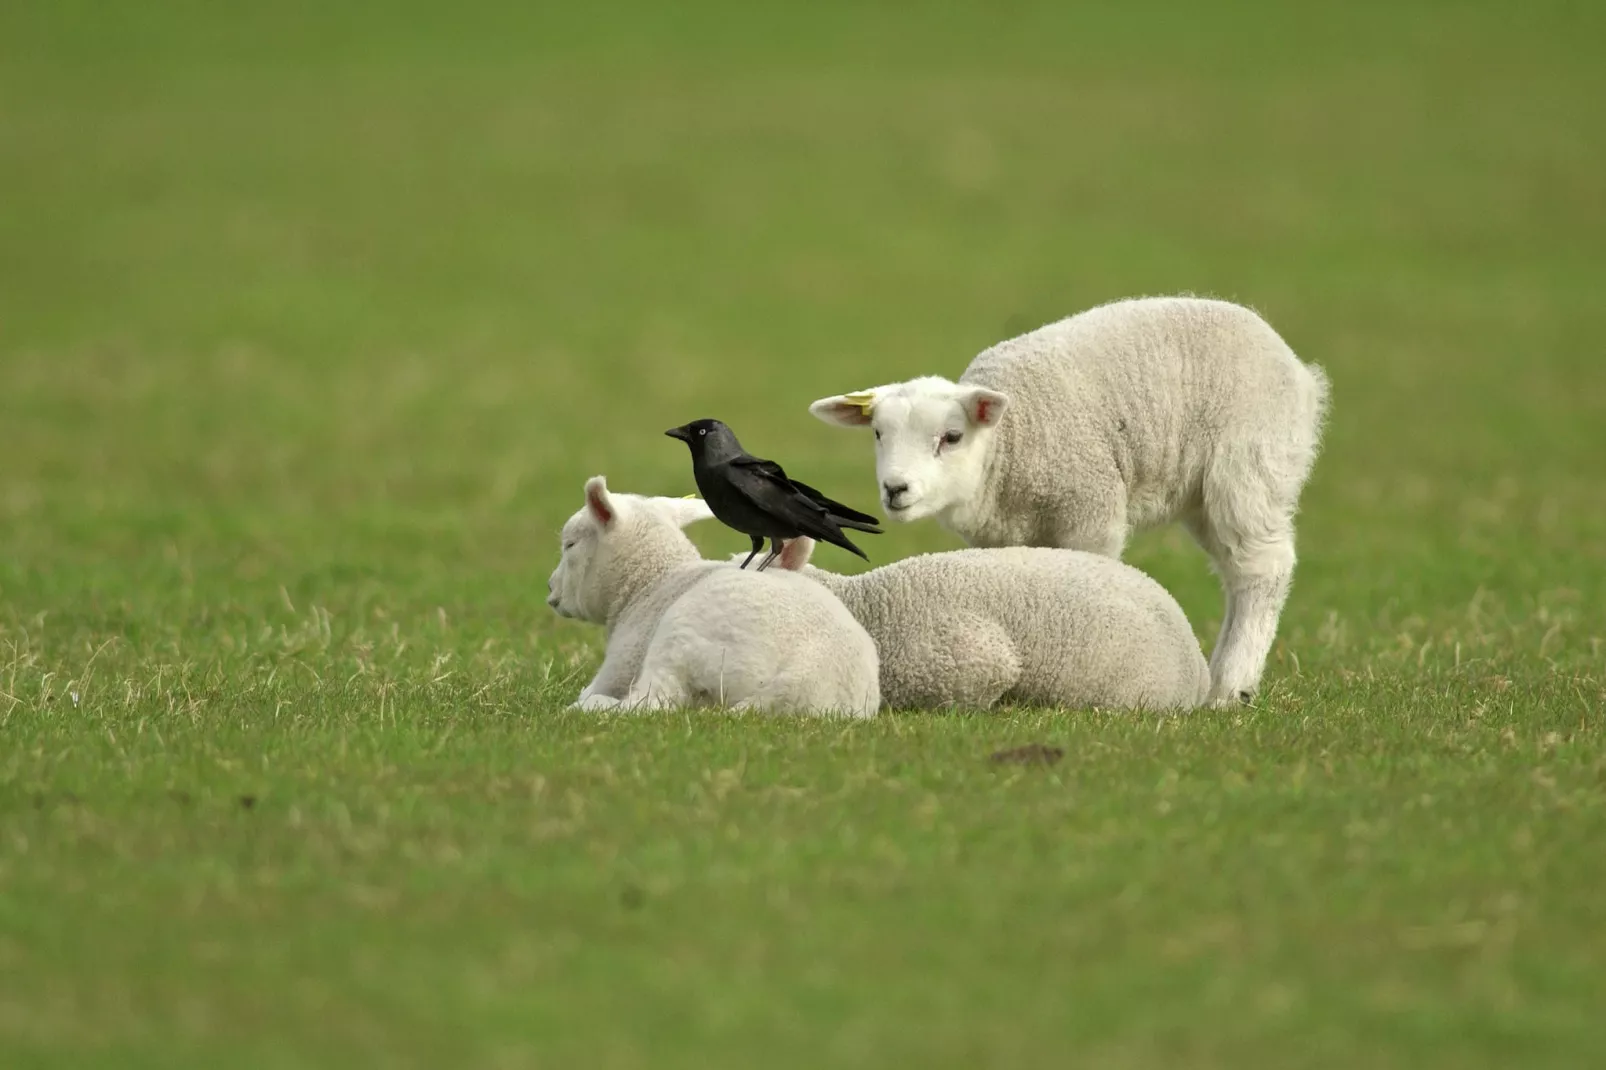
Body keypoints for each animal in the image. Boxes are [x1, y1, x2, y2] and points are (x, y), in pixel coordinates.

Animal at [549, 475, 880, 716]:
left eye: (570, 545)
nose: (551, 590)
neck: (649, 583)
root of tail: (802, 678)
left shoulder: (623, 660)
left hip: (682, 639)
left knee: (652, 702)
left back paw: (587, 708)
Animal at [815, 295, 1329, 703]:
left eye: (952, 437)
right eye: (877, 434)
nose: (895, 489)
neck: (1007, 445)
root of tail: (1300, 372)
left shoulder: (1089, 507)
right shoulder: (1006, 538)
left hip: (1248, 465)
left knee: (1260, 568)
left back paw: (1230, 686)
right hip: (1205, 493)